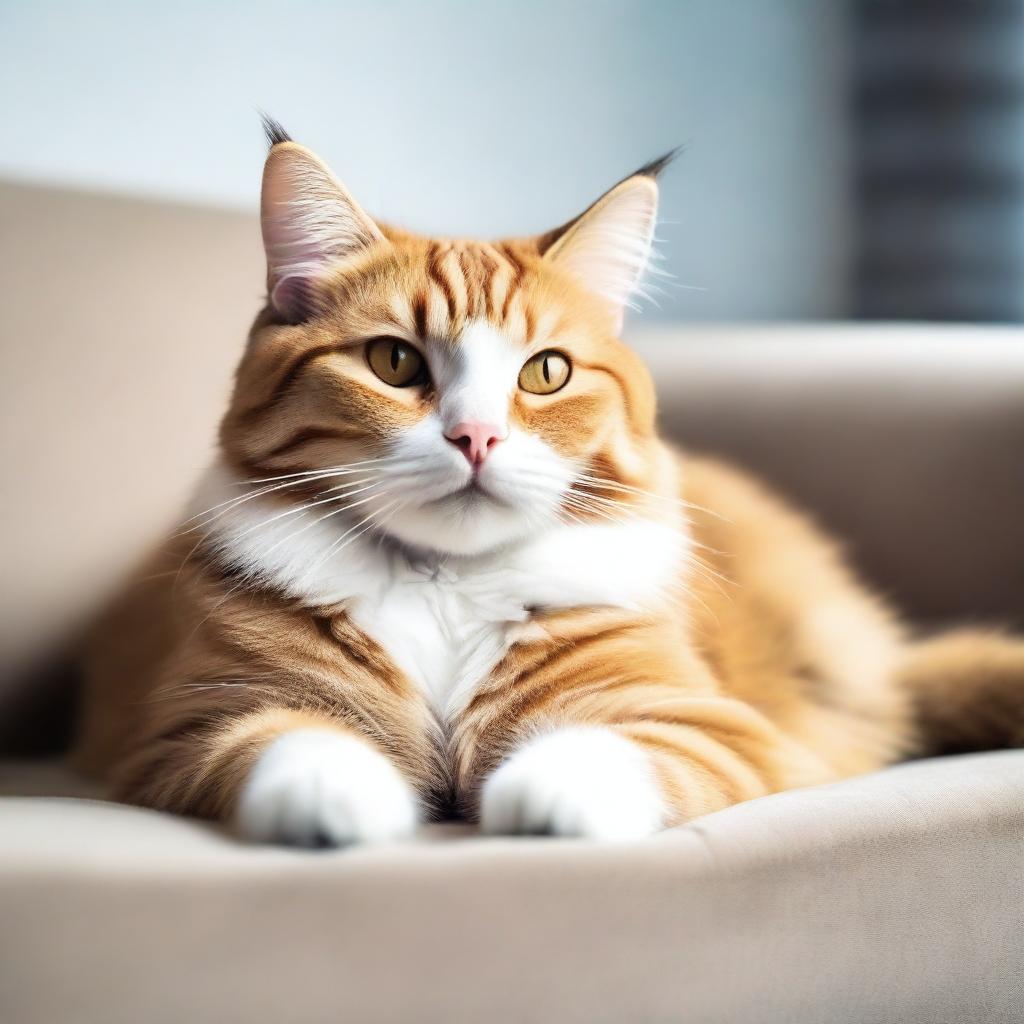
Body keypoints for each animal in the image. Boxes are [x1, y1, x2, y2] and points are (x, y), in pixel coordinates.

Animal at [75, 116, 1024, 843]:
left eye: (546, 373)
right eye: (394, 362)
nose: (477, 436)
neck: (445, 588)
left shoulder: (713, 726)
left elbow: (603, 748)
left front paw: (542, 796)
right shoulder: (190, 727)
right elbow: (296, 742)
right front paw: (344, 800)